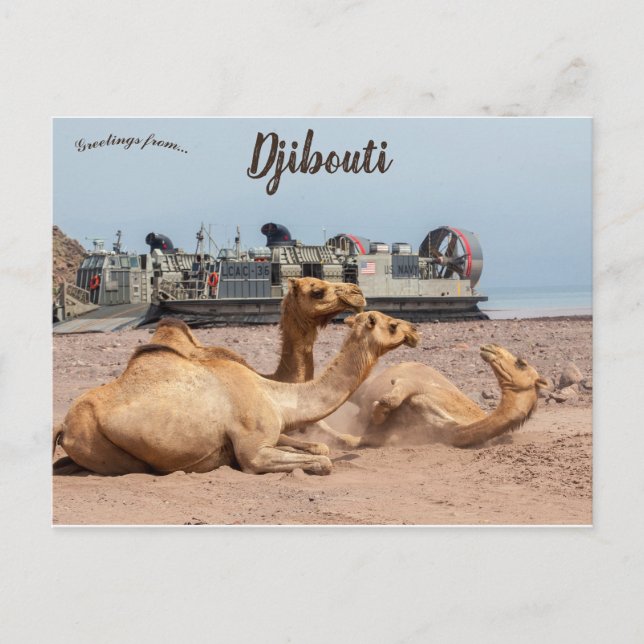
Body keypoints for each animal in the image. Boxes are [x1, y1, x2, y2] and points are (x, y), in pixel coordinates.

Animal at [52, 312, 419, 476]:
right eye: (390, 325)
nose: (415, 330)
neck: (275, 394)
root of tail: (63, 426)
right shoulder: (253, 451)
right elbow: (324, 461)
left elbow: (319, 446)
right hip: (100, 443)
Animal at [336, 344, 549, 448]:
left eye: (521, 363)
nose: (491, 347)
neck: (450, 429)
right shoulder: (416, 386)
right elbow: (395, 395)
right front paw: (378, 412)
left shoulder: (397, 436)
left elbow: (360, 439)